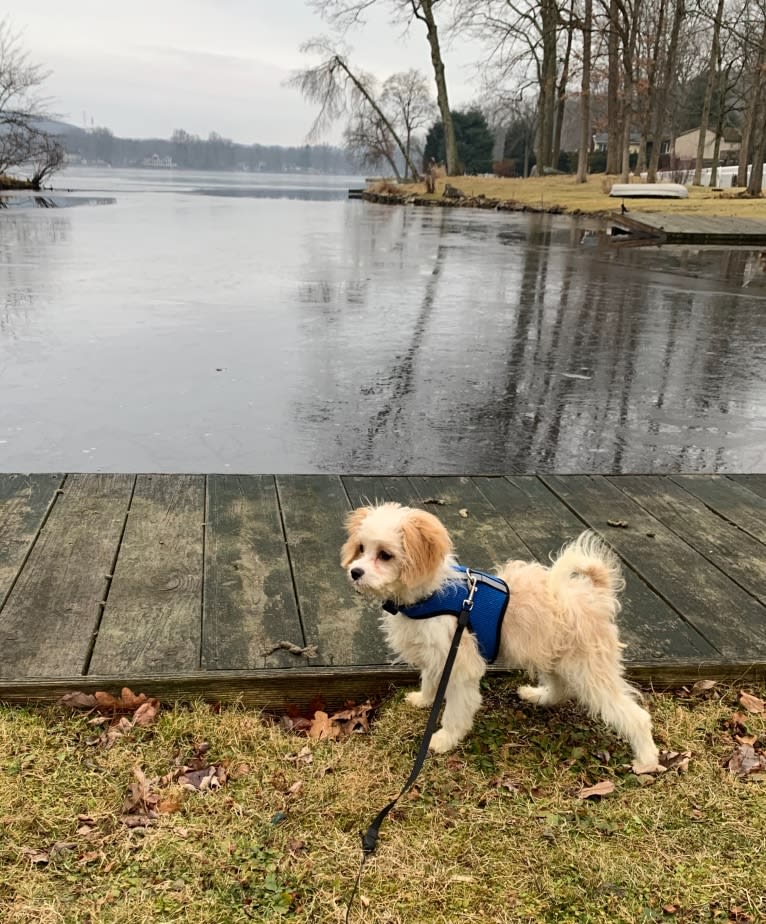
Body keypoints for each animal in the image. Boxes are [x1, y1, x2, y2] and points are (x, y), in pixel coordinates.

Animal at [342, 506, 660, 772]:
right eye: (361, 548)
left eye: (385, 555)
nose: (355, 572)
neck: (430, 596)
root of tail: (595, 594)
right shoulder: (436, 655)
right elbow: (431, 682)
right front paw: (424, 700)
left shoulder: (460, 663)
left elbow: (456, 708)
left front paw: (444, 738)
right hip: (554, 655)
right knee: (561, 688)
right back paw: (538, 696)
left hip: (590, 669)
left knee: (635, 715)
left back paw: (647, 760)